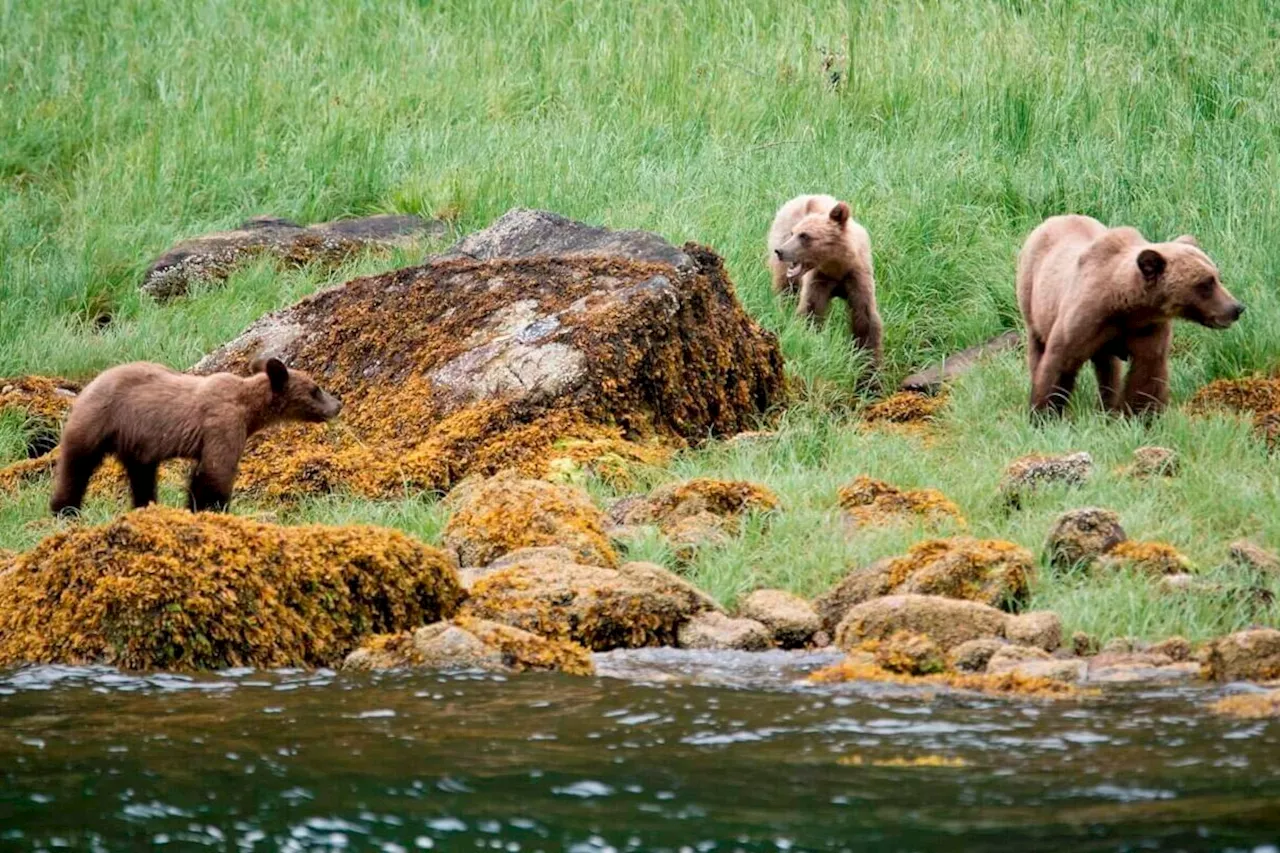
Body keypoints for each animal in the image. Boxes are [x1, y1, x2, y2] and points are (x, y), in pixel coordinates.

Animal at [49, 356, 343, 514]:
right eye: (316, 389)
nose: (338, 404)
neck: (250, 410)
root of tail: (88, 386)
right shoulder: (223, 424)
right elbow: (215, 473)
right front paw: (211, 509)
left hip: (137, 442)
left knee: (142, 476)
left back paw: (146, 506)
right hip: (101, 421)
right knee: (77, 466)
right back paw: (65, 510)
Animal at [762, 192, 885, 366]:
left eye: (805, 235)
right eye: (794, 233)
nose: (780, 251)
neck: (837, 266)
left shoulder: (857, 276)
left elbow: (864, 318)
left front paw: (868, 363)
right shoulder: (819, 279)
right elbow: (811, 311)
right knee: (786, 289)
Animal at [1013, 211, 1244, 412]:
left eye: (1217, 276)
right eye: (1205, 283)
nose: (1236, 308)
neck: (1125, 305)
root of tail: (1052, 220)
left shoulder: (1147, 329)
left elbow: (1146, 374)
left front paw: (1142, 414)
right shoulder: (1085, 319)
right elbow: (1060, 362)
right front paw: (1044, 413)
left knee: (1108, 368)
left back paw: (1108, 406)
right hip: (1033, 300)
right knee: (1039, 347)